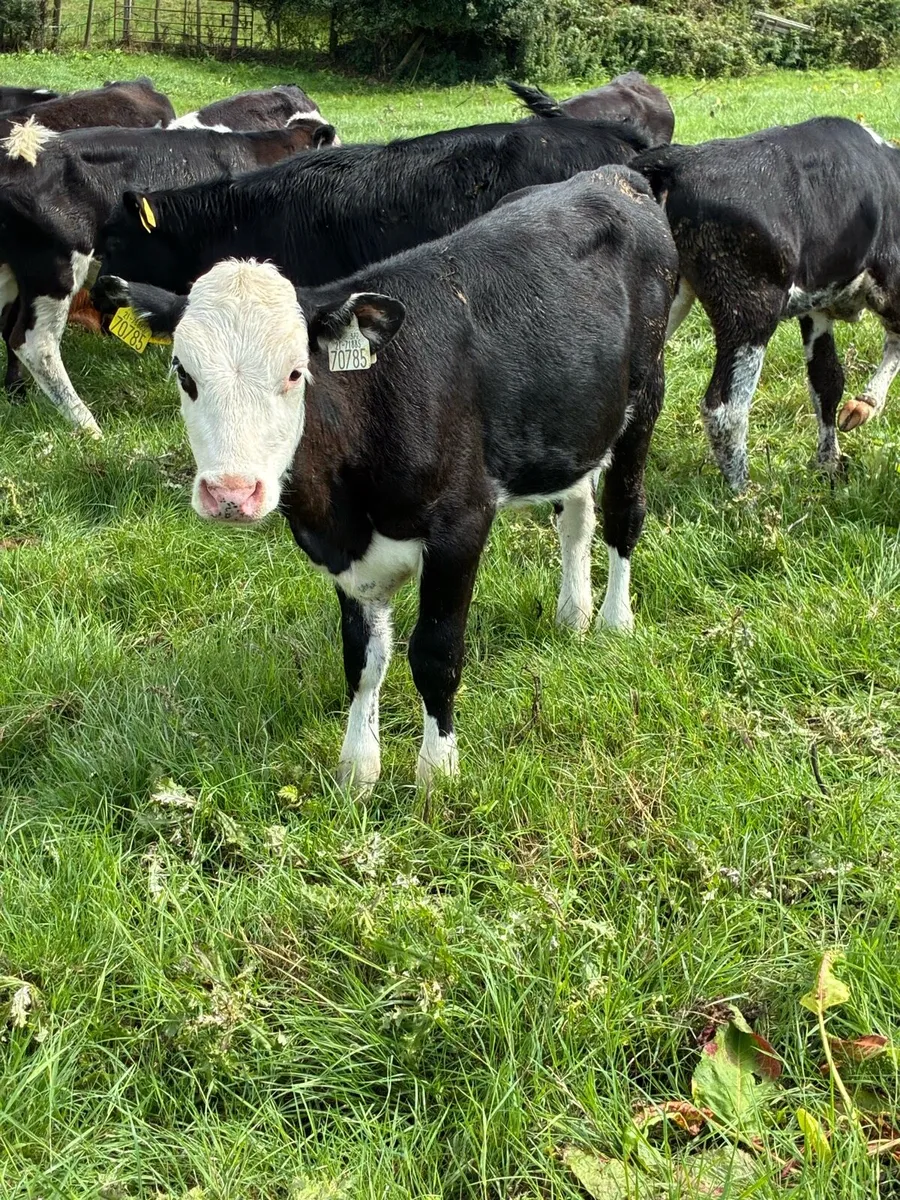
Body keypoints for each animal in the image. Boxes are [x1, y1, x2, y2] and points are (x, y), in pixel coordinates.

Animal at [92, 166, 677, 788]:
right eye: (184, 373)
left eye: (295, 372)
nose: (231, 493)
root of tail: (613, 176)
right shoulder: (343, 553)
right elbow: (361, 658)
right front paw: (357, 767)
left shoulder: (461, 524)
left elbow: (436, 652)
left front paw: (437, 771)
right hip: (572, 419)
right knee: (575, 515)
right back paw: (573, 614)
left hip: (646, 396)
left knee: (622, 511)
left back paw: (614, 621)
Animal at [635, 116, 900, 490]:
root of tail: (680, 160)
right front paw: (864, 406)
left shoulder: (817, 308)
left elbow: (827, 381)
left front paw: (829, 464)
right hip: (749, 311)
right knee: (725, 408)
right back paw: (745, 493)